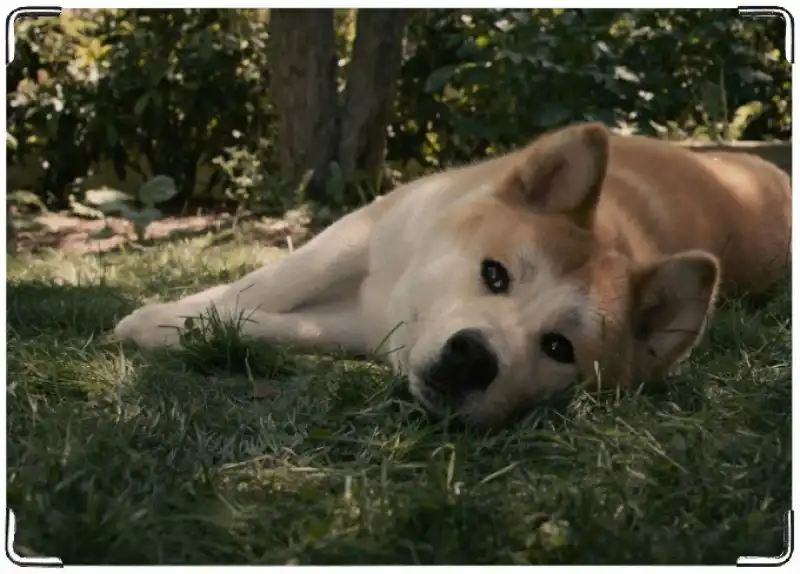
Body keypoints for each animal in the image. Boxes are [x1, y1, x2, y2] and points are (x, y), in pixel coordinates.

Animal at [114, 122, 791, 428]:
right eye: (494, 275)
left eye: (558, 348)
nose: (473, 358)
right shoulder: (366, 230)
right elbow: (269, 285)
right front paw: (163, 315)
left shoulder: (363, 325)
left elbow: (267, 321)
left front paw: (173, 328)